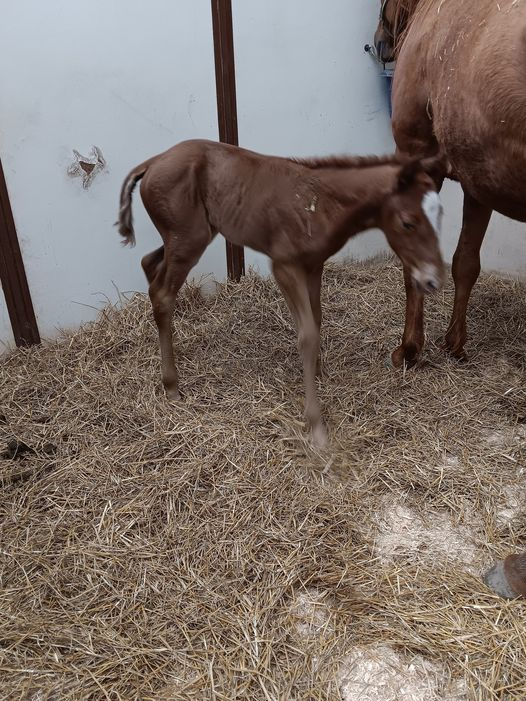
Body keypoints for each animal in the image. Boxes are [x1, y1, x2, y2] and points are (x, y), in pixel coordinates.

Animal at [117, 139, 446, 448]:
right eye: (408, 222)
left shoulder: (313, 265)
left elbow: (317, 319)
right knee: (162, 293)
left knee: (149, 264)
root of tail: (153, 161)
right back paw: (171, 386)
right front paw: (316, 425)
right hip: (188, 238)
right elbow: (307, 335)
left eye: (440, 216)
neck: (320, 202)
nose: (433, 280)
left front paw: (318, 373)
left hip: (194, 235)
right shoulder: (285, 266)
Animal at [374, 0, 526, 599]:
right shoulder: (482, 175)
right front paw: (456, 343)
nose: (378, 44)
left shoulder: (419, 155)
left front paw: (411, 347)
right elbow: (465, 262)